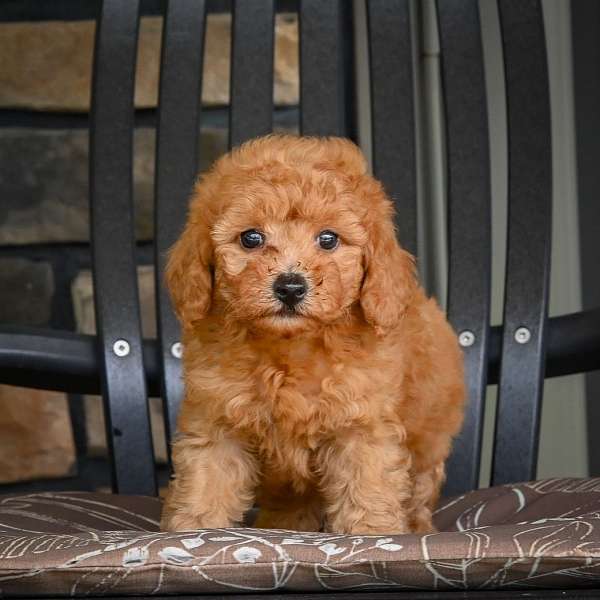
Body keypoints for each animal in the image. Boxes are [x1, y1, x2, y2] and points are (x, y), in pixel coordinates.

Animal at [159, 134, 464, 532]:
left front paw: (375, 535)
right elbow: (206, 486)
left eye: (329, 239)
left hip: (429, 441)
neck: (289, 350)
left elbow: (368, 491)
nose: (290, 287)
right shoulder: (216, 421)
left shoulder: (361, 425)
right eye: (251, 238)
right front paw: (192, 531)